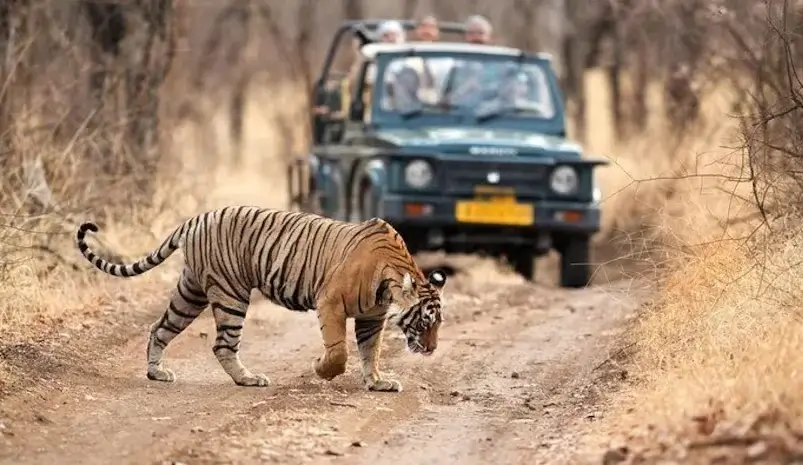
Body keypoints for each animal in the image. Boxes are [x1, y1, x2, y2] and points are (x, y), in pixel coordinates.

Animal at [74, 207, 446, 392]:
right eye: (425, 321)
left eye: (438, 324)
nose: (431, 349)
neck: (390, 279)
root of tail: (195, 219)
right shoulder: (330, 302)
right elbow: (339, 351)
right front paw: (321, 369)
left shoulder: (372, 317)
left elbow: (371, 352)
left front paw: (377, 382)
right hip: (230, 294)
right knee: (223, 344)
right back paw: (248, 379)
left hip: (191, 292)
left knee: (160, 327)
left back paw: (156, 373)